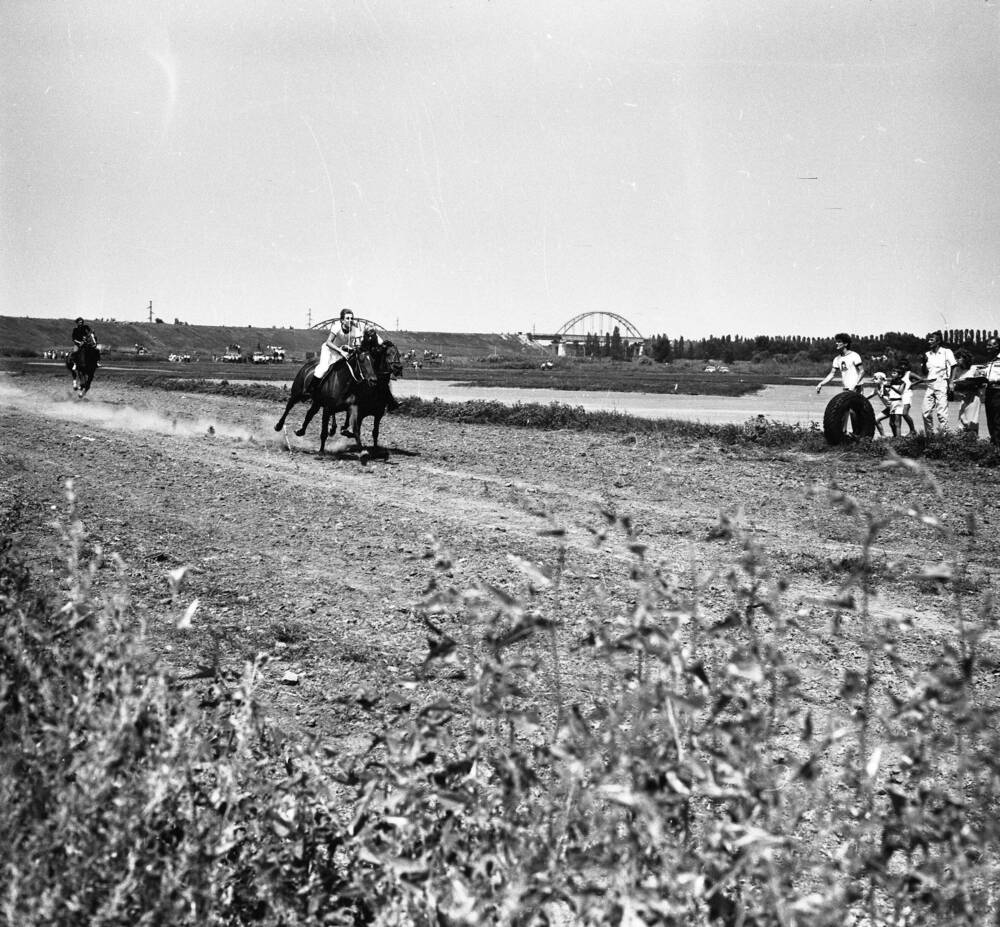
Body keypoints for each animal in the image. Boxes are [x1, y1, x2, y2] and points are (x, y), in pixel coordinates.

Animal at [274, 340, 402, 456]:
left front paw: (368, 450)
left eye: (399, 354)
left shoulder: (371, 412)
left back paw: (301, 431)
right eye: (388, 353)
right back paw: (278, 426)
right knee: (289, 406)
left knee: (310, 413)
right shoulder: (331, 408)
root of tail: (307, 365)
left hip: (317, 401)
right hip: (297, 393)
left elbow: (368, 431)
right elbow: (325, 431)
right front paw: (322, 450)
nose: (398, 367)